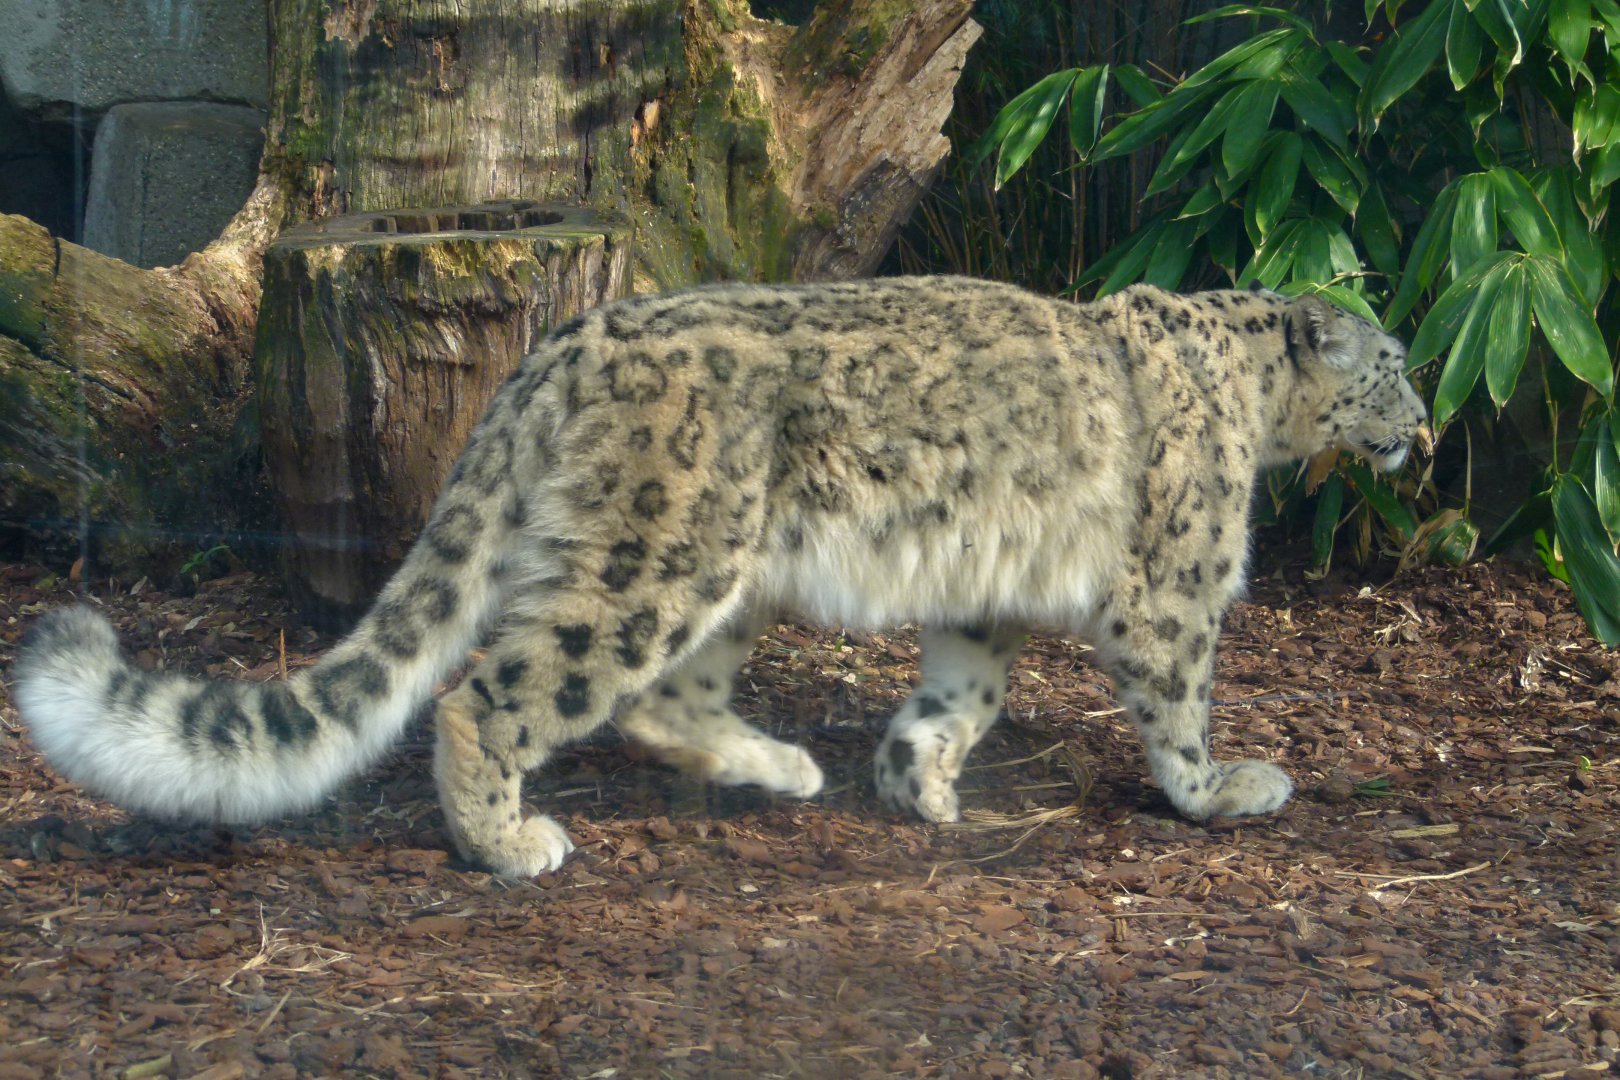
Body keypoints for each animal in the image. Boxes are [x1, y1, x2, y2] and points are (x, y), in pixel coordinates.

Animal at [14, 276, 1426, 878]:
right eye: (1394, 363)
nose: (1427, 421)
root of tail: (564, 343)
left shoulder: (983, 601)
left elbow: (964, 691)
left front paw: (917, 782)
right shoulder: (1172, 587)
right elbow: (1180, 698)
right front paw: (1219, 791)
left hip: (722, 578)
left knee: (660, 700)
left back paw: (784, 769)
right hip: (659, 559)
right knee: (495, 692)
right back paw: (509, 841)